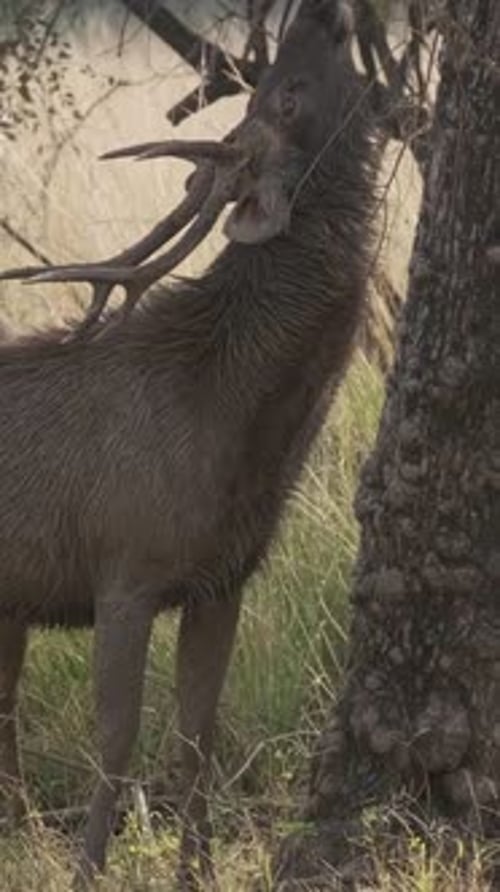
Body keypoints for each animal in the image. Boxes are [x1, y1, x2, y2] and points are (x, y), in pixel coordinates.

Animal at [0, 0, 379, 886]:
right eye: (284, 92)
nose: (321, 11)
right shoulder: (124, 569)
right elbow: (116, 738)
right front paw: (89, 867)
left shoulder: (222, 580)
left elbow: (197, 736)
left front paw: (195, 870)